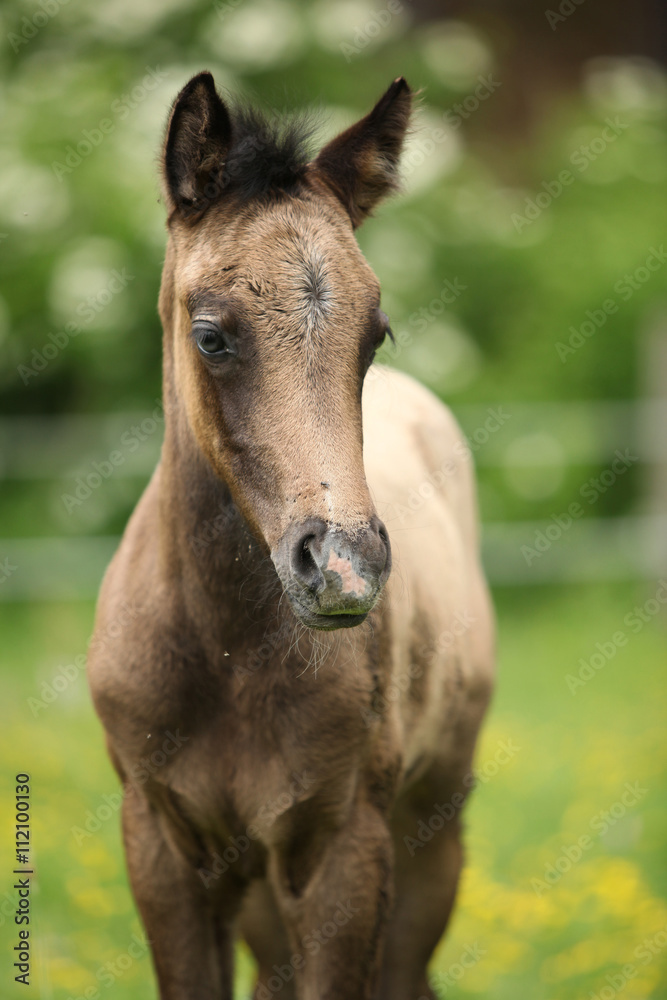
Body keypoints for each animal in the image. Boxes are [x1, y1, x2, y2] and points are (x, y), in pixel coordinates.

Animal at [87, 71, 495, 1000]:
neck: (226, 651)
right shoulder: (161, 845)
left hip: (430, 831)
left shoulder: (344, 847)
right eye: (210, 335)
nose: (343, 569)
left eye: (375, 334)